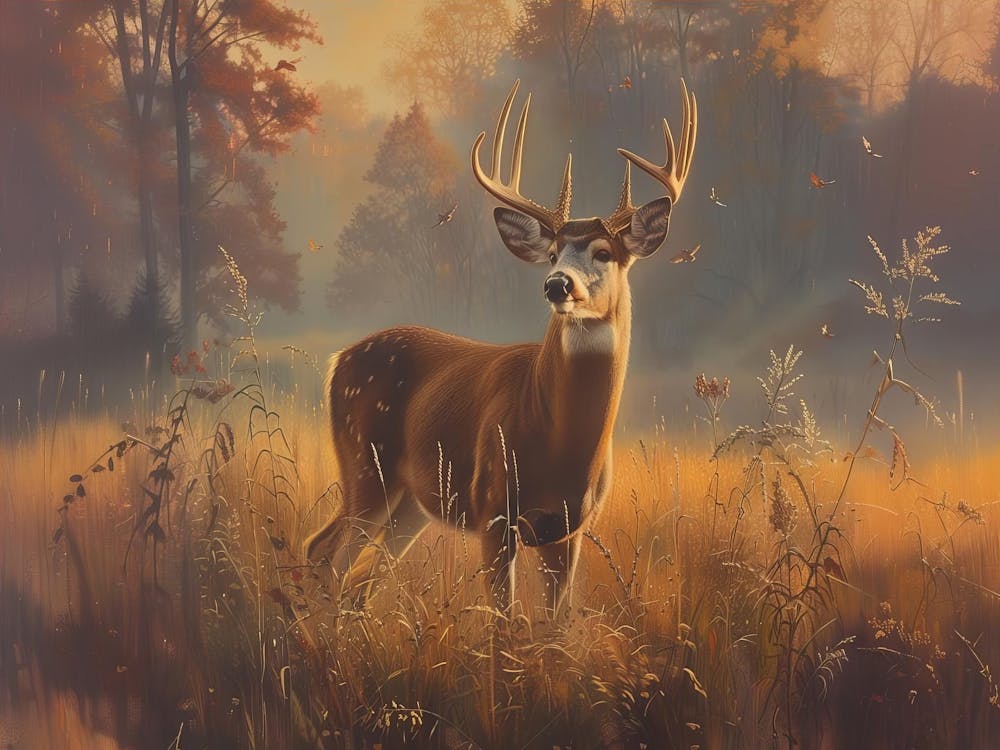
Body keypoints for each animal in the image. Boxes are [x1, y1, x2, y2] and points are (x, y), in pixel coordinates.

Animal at [305, 79, 697, 610]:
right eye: (551, 253)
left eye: (603, 252)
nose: (557, 285)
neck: (560, 444)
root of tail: (337, 361)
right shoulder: (493, 507)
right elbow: (505, 620)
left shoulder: (568, 528)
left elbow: (555, 619)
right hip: (365, 464)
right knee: (325, 552)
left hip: (410, 501)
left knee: (362, 574)